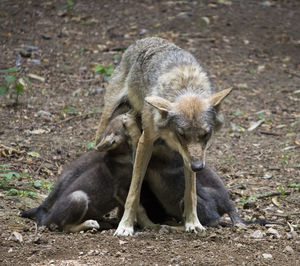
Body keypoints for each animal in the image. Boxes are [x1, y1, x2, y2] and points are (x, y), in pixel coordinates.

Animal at [96, 36, 232, 236]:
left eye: (206, 134)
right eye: (181, 134)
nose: (198, 167)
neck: (185, 86)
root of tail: (145, 39)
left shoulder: (190, 156)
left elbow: (191, 193)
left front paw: (193, 223)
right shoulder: (146, 142)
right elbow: (134, 191)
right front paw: (125, 225)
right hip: (106, 120)